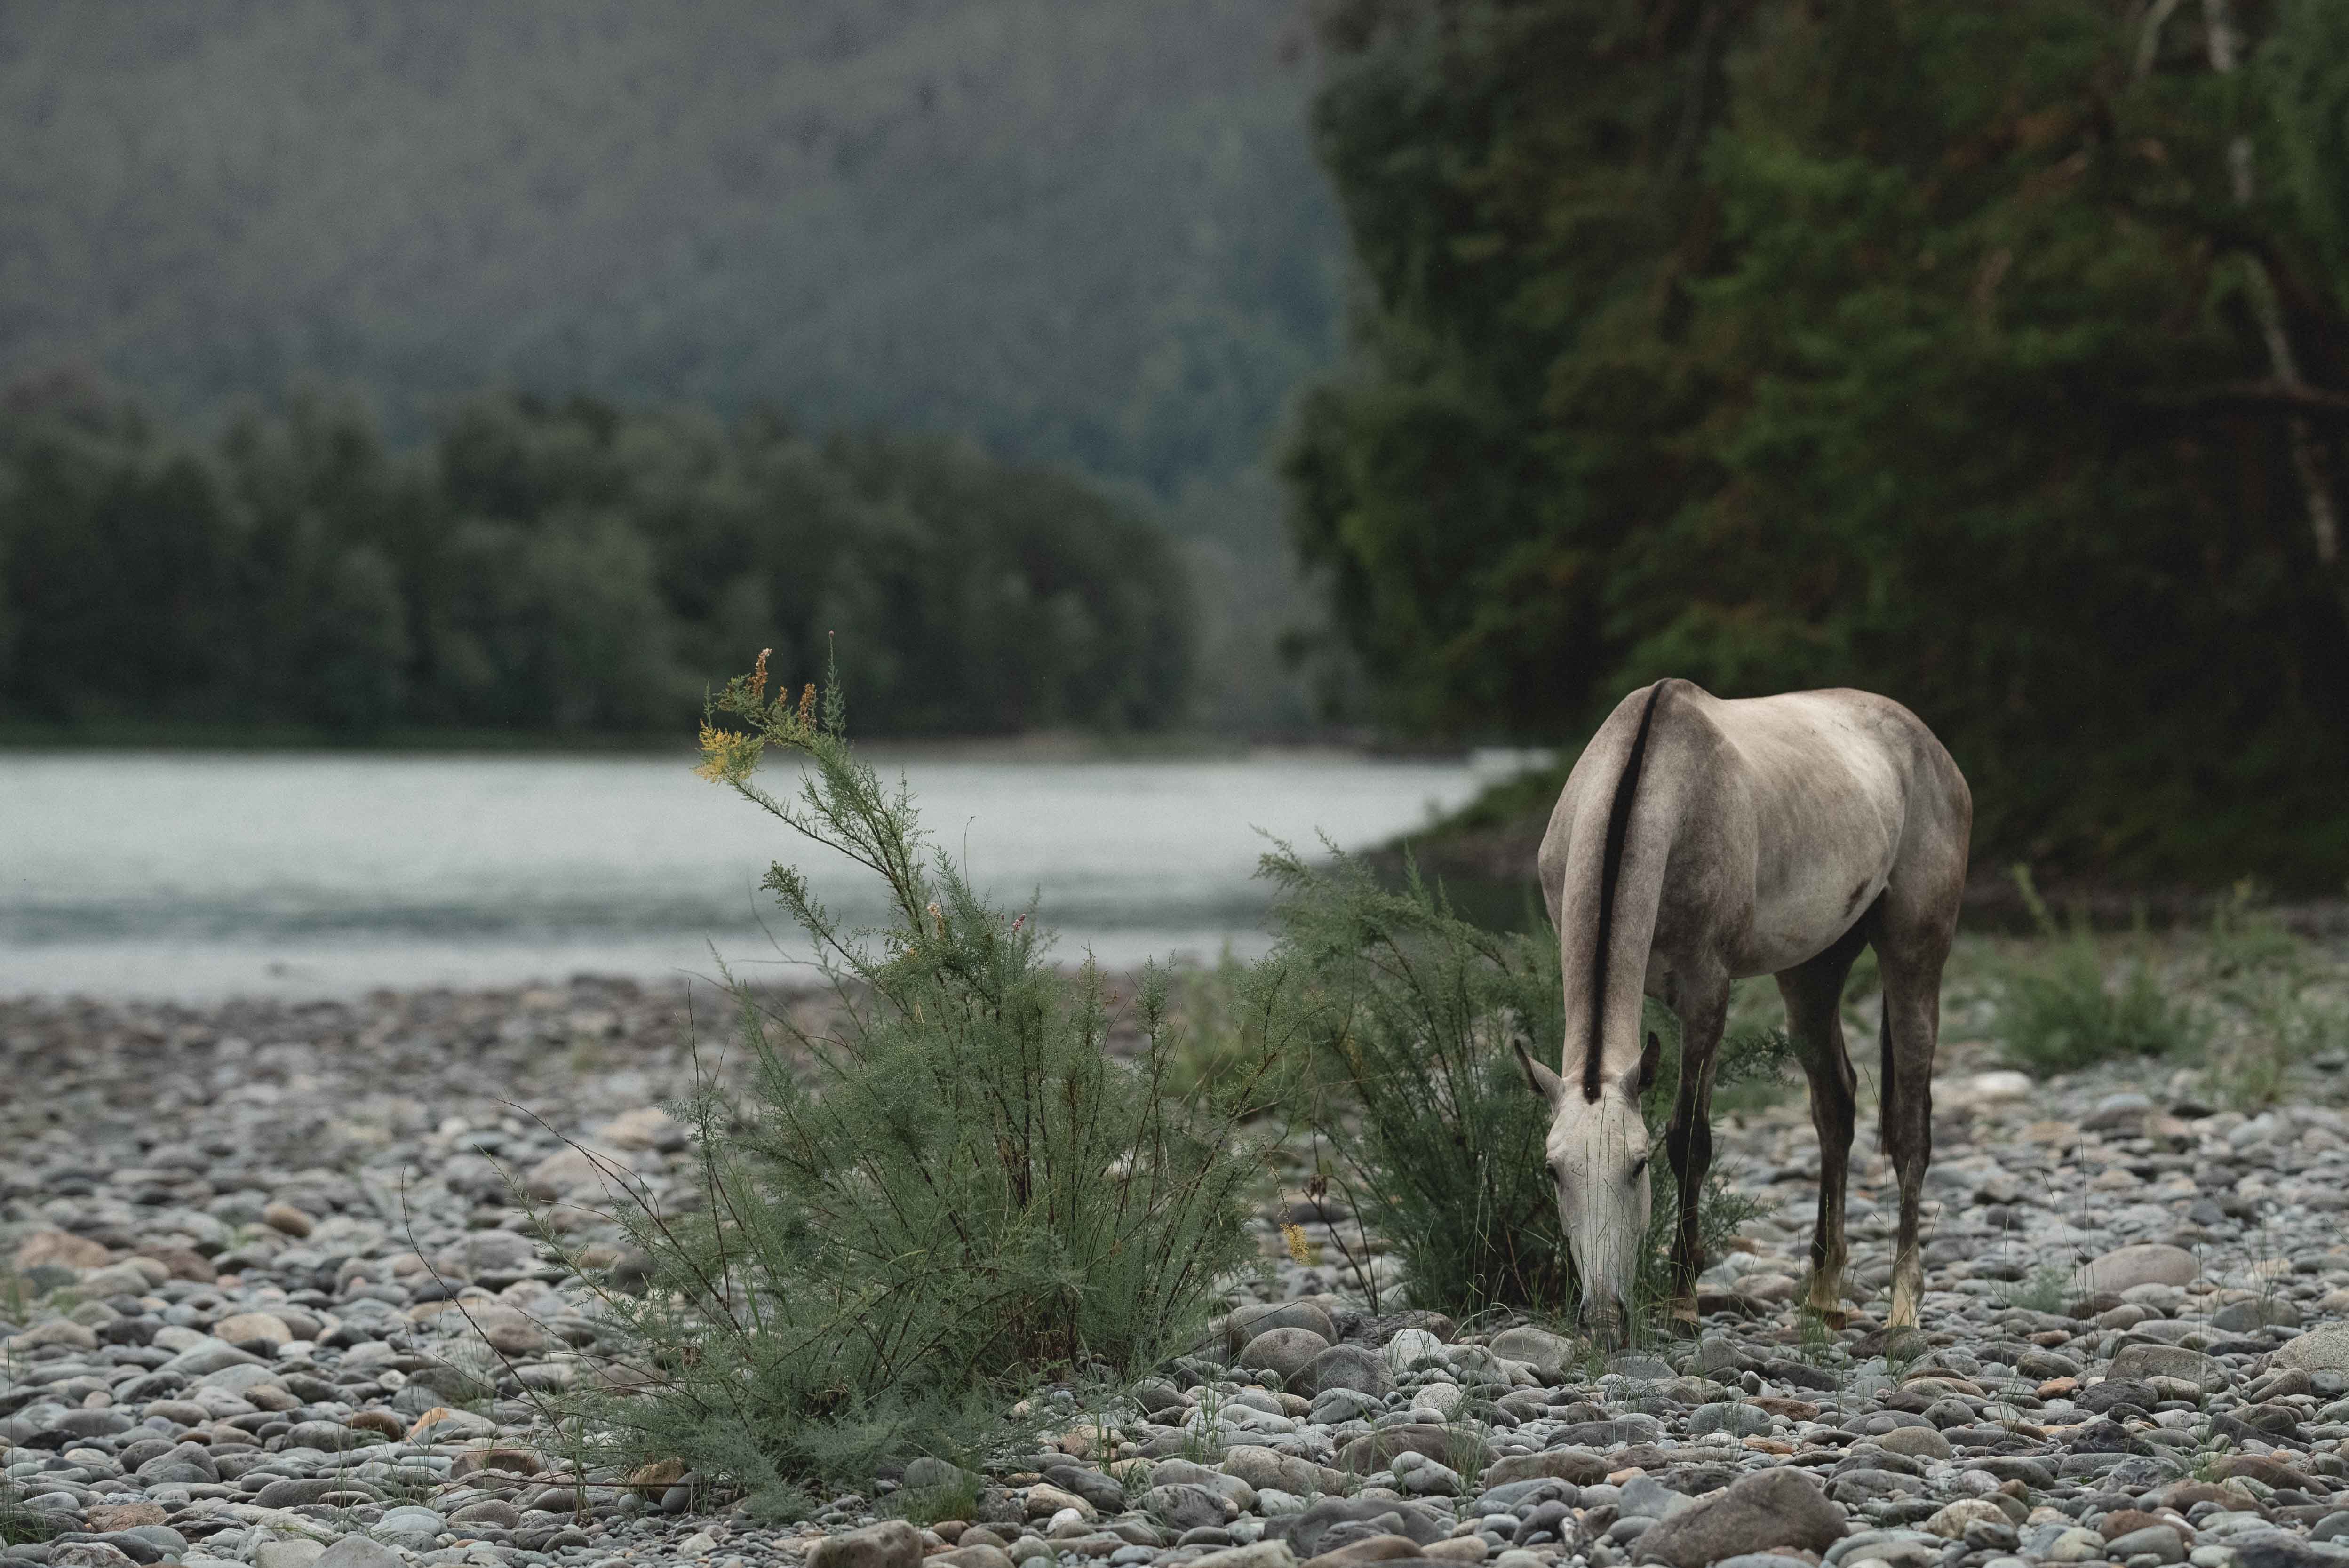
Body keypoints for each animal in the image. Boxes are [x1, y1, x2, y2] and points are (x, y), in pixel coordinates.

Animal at [1513, 676, 1973, 1333]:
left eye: (1638, 1165)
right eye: (1553, 1171)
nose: (1602, 1316)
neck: (1656, 785)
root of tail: (1927, 743)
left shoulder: (1707, 990)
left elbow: (1690, 1139)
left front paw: (1682, 1301)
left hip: (1915, 951)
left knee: (1910, 1125)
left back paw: (1902, 1308)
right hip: (1812, 970)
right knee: (1835, 1105)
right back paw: (1822, 1292)